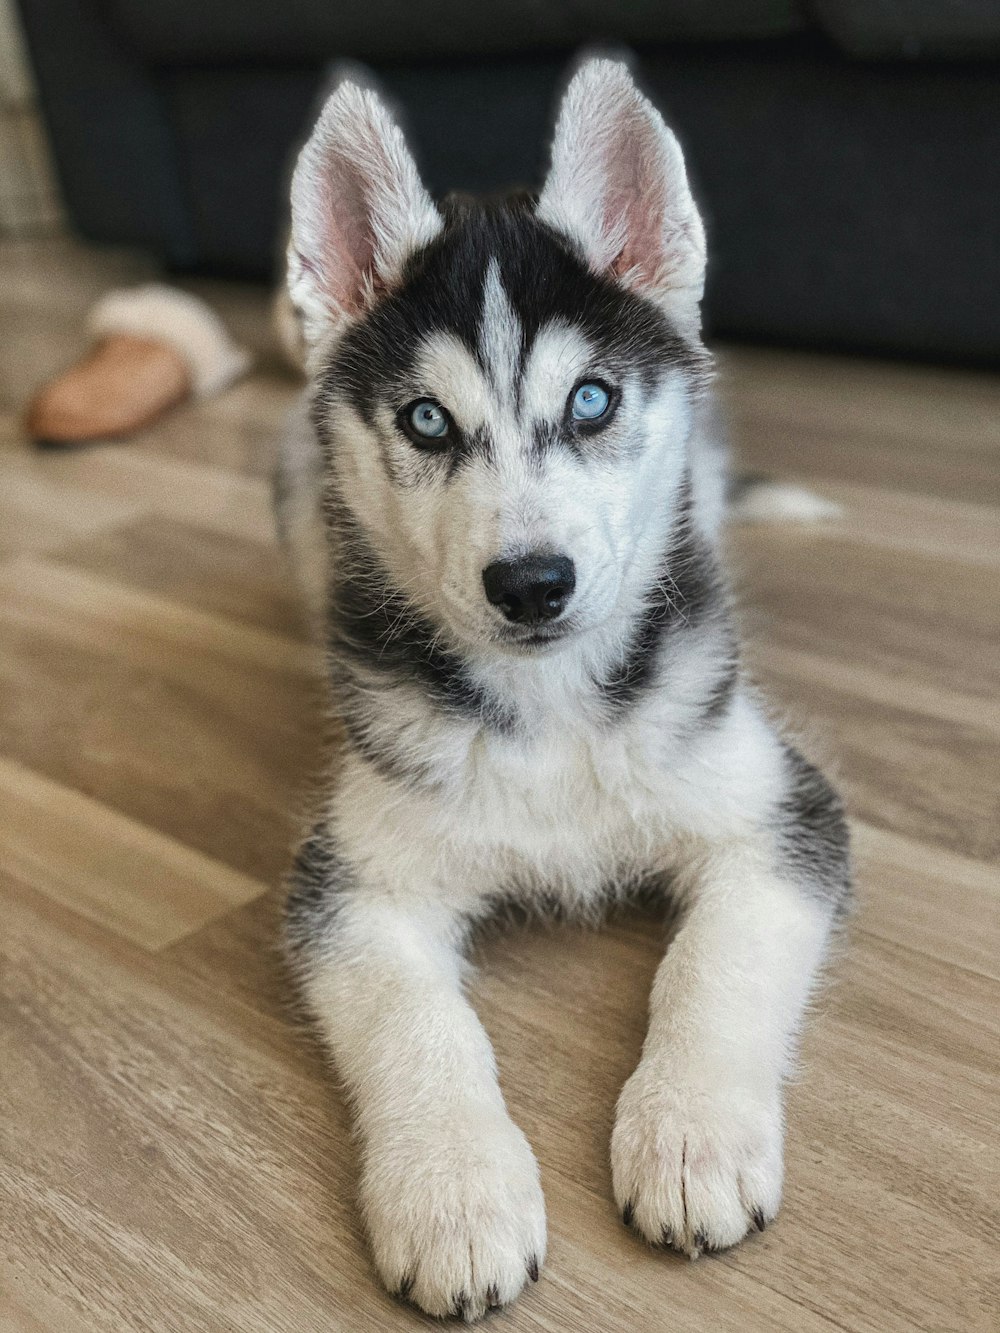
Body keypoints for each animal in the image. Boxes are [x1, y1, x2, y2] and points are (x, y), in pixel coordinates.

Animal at [276, 54, 853, 1322]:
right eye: (425, 420)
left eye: (590, 401)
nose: (531, 583)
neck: (550, 717)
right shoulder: (353, 882)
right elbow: (416, 1022)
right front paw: (453, 1194)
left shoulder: (776, 811)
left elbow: (712, 963)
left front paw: (688, 1135)